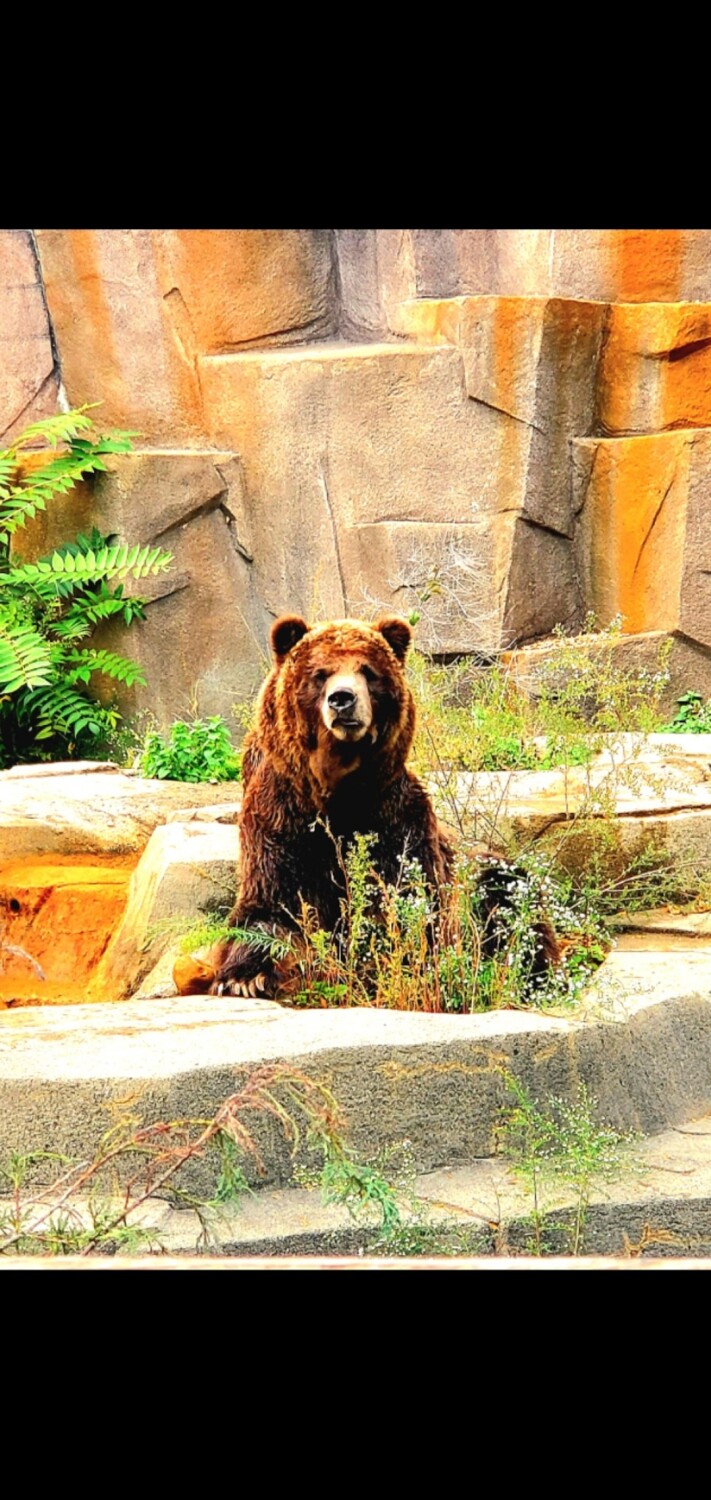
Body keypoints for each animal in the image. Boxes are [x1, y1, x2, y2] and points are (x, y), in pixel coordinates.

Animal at [173, 612, 560, 1001]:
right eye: (320, 673)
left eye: (368, 671)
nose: (343, 699)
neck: (337, 793)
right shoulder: (280, 816)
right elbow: (271, 904)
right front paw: (244, 977)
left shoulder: (393, 817)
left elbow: (404, 905)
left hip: (491, 875)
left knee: (514, 908)